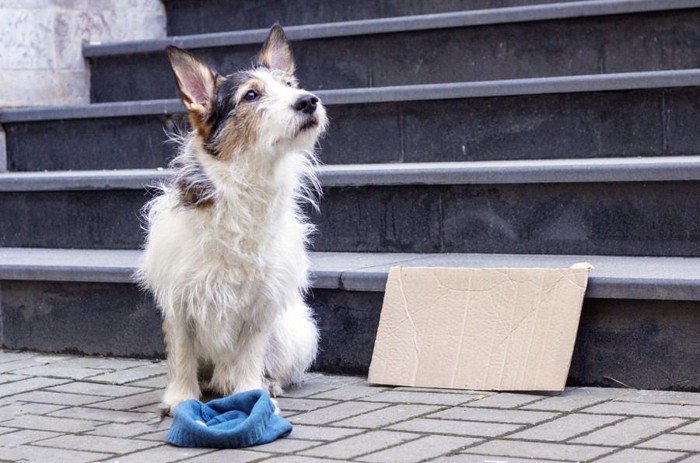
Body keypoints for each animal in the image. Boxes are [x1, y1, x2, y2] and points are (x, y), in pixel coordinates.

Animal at [136, 24, 328, 416]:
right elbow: (181, 355)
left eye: (290, 85)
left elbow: (249, 356)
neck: (247, 183)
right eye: (251, 95)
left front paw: (251, 392)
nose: (308, 101)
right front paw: (180, 399)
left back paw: (266, 384)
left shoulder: (262, 306)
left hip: (295, 332)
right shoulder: (179, 300)